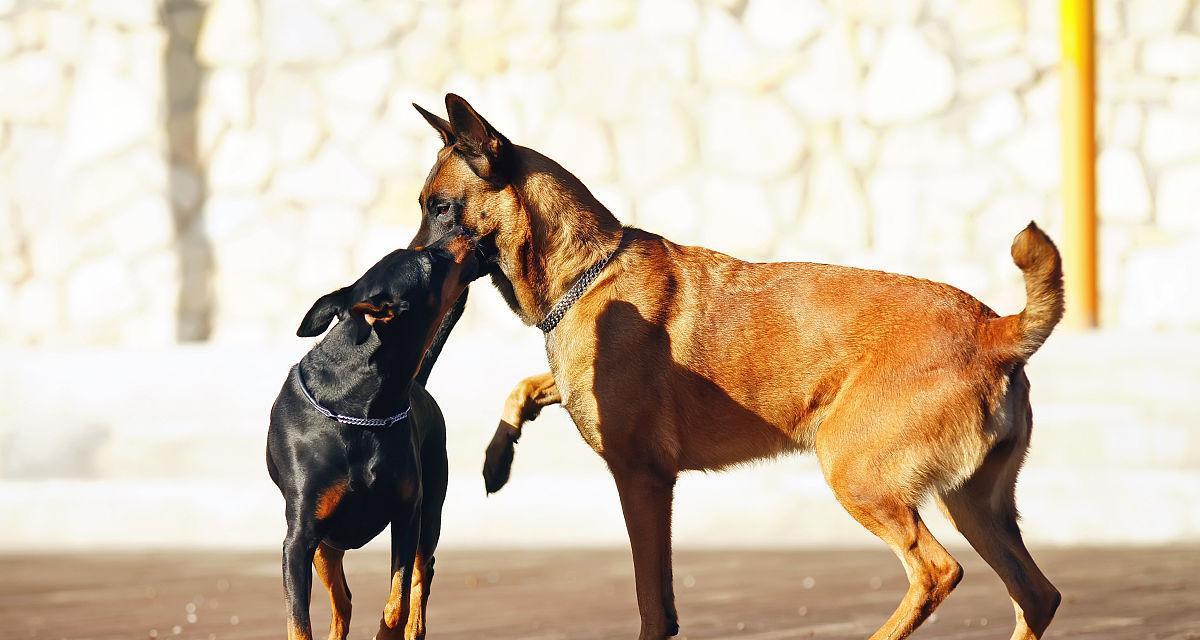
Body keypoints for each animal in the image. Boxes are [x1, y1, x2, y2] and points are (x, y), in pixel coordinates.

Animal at [267, 231, 477, 638]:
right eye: (429, 261)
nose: (463, 232)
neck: (361, 410)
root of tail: (419, 387)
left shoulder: (407, 512)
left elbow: (398, 600)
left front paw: (388, 630)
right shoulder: (299, 538)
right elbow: (298, 622)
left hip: (431, 510)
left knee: (422, 573)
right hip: (325, 545)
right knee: (343, 600)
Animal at [412, 94, 1060, 638]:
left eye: (441, 208)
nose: (408, 273)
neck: (589, 269)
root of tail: (995, 331)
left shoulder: (642, 481)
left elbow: (652, 603)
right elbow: (525, 386)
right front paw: (498, 455)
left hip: (857, 475)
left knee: (936, 572)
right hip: (972, 504)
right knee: (1037, 595)